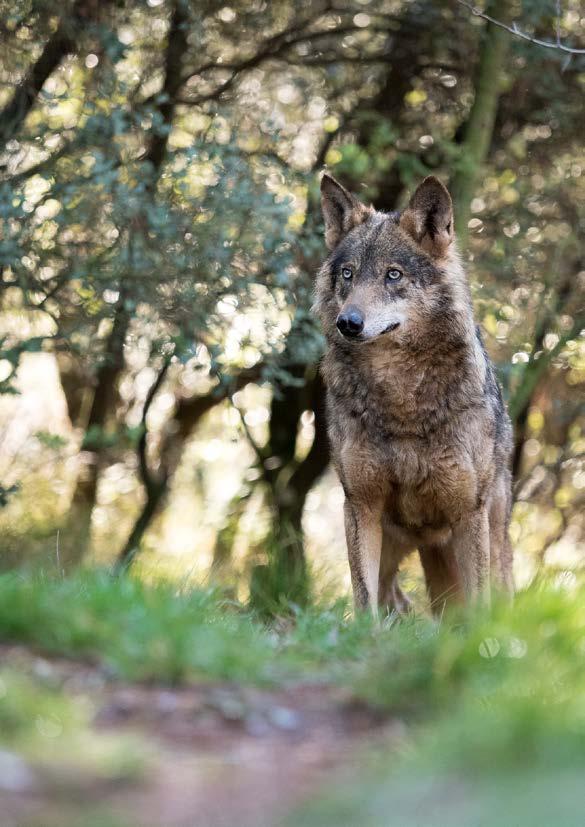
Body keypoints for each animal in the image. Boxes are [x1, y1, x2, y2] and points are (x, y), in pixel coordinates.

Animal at [314, 173, 512, 616]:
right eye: (348, 274)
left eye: (393, 275)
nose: (347, 322)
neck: (400, 399)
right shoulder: (360, 506)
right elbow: (364, 599)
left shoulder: (467, 513)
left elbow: (478, 606)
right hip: (396, 551)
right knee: (396, 600)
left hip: (490, 539)